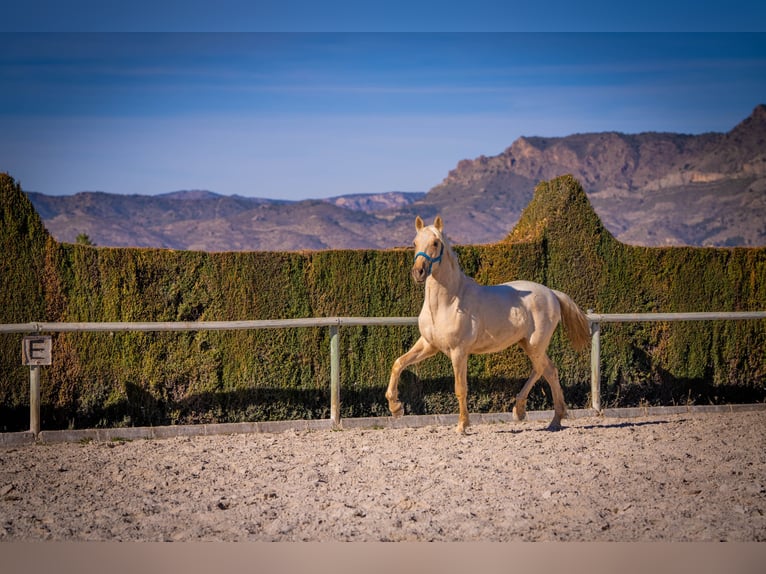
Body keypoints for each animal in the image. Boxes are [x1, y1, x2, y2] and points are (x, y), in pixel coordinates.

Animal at [388, 215, 592, 432]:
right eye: (414, 243)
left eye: (435, 243)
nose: (418, 272)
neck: (448, 302)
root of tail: (552, 293)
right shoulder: (429, 345)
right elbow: (398, 363)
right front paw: (396, 408)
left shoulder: (459, 351)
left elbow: (460, 388)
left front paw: (462, 425)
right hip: (527, 344)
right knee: (544, 370)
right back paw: (540, 416)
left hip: (535, 344)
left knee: (546, 370)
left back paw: (540, 415)